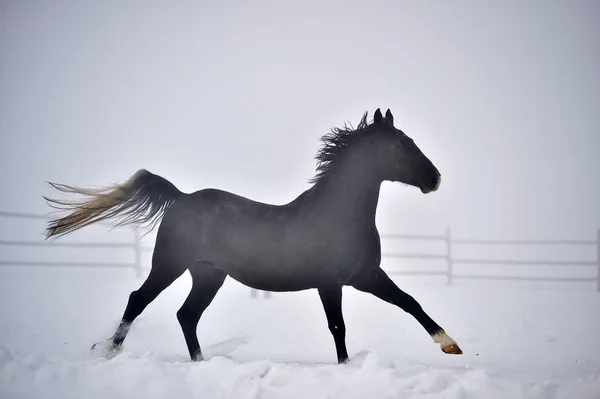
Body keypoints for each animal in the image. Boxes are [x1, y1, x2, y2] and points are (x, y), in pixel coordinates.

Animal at [44, 108, 462, 364]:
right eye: (399, 145)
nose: (436, 179)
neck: (340, 215)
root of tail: (180, 197)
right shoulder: (331, 283)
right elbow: (338, 327)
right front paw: (344, 367)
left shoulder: (366, 276)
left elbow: (410, 302)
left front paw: (450, 345)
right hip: (169, 265)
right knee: (138, 299)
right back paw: (109, 351)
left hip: (208, 276)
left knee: (186, 315)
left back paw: (200, 362)